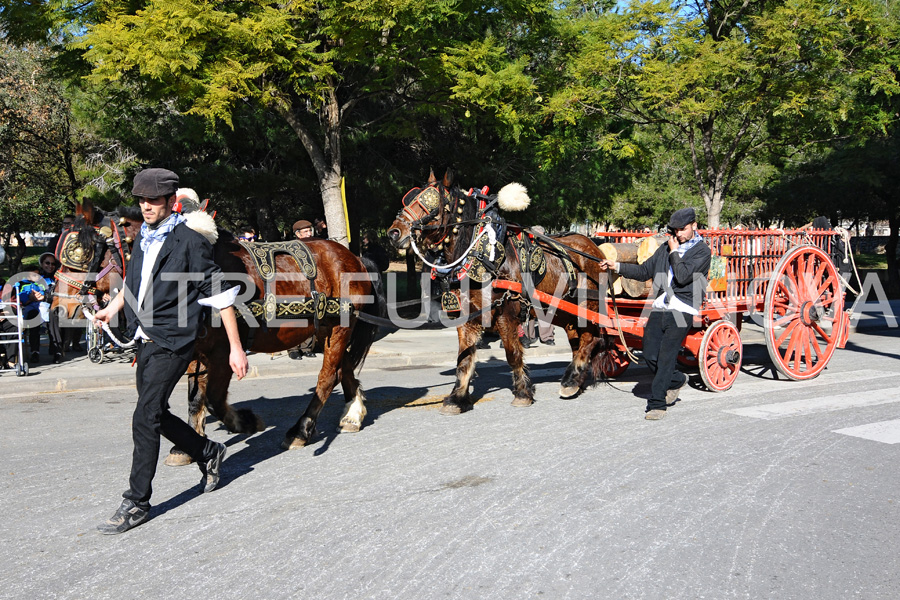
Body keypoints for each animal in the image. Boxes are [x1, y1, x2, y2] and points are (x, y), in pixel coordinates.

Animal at [51, 207, 384, 454]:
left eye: (81, 252)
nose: (57, 308)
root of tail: (354, 257)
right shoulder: (194, 350)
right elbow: (194, 396)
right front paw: (188, 445)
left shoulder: (223, 350)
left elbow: (212, 396)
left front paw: (244, 422)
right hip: (331, 329)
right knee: (343, 369)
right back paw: (353, 413)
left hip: (340, 328)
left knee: (327, 377)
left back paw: (301, 429)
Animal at [388, 169, 612, 412]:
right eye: (408, 199)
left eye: (429, 203)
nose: (393, 233)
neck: (480, 254)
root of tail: (595, 249)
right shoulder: (467, 317)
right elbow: (464, 359)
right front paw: (457, 398)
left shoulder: (506, 314)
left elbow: (512, 354)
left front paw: (522, 393)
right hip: (563, 311)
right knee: (578, 342)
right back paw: (574, 381)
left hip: (587, 307)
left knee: (591, 339)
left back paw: (571, 380)